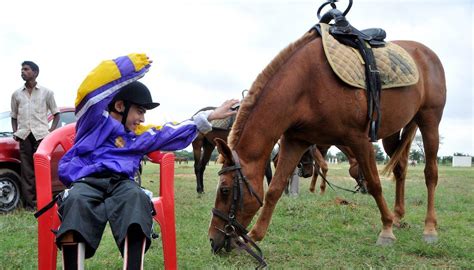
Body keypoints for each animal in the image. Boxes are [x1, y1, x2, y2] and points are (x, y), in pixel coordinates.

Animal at [209, 20, 446, 253]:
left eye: (225, 190)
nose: (213, 240)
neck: (306, 83)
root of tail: (428, 54)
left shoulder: (359, 140)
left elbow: (375, 183)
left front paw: (386, 229)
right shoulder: (296, 141)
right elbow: (275, 188)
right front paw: (253, 236)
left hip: (429, 120)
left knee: (430, 173)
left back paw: (429, 228)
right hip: (394, 132)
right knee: (400, 168)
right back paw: (398, 216)